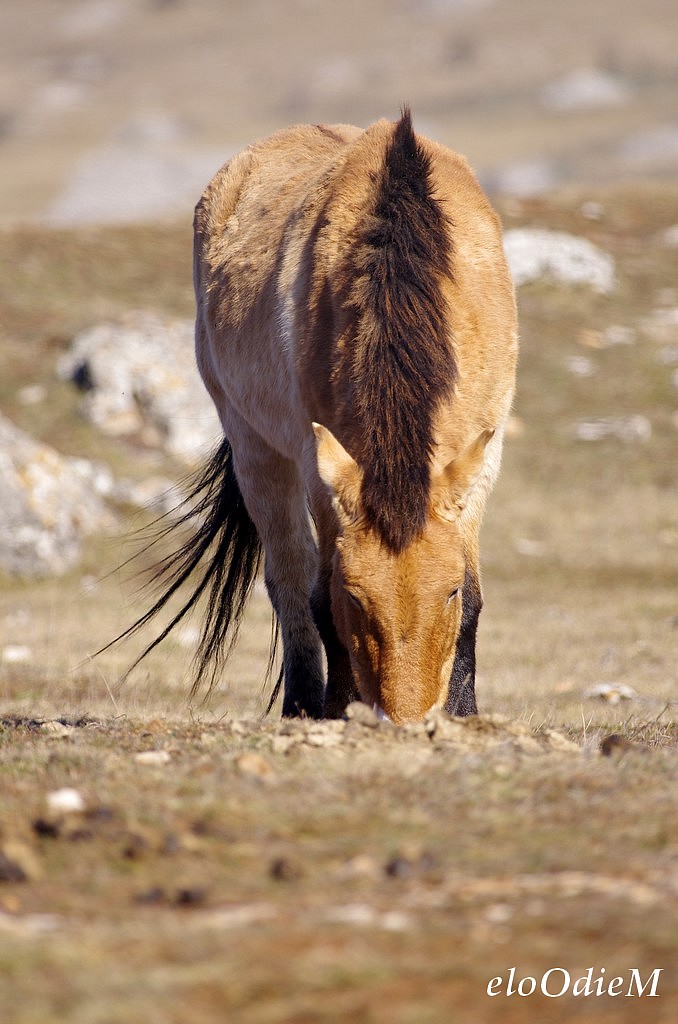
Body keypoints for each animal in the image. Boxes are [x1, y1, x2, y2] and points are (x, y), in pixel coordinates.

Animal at [123, 108, 518, 724]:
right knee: (288, 576)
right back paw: (302, 703)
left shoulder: (482, 453)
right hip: (254, 446)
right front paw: (336, 710)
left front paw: (463, 712)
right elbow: (316, 594)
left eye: (449, 591)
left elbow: (477, 601)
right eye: (355, 595)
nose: (405, 719)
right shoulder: (317, 462)